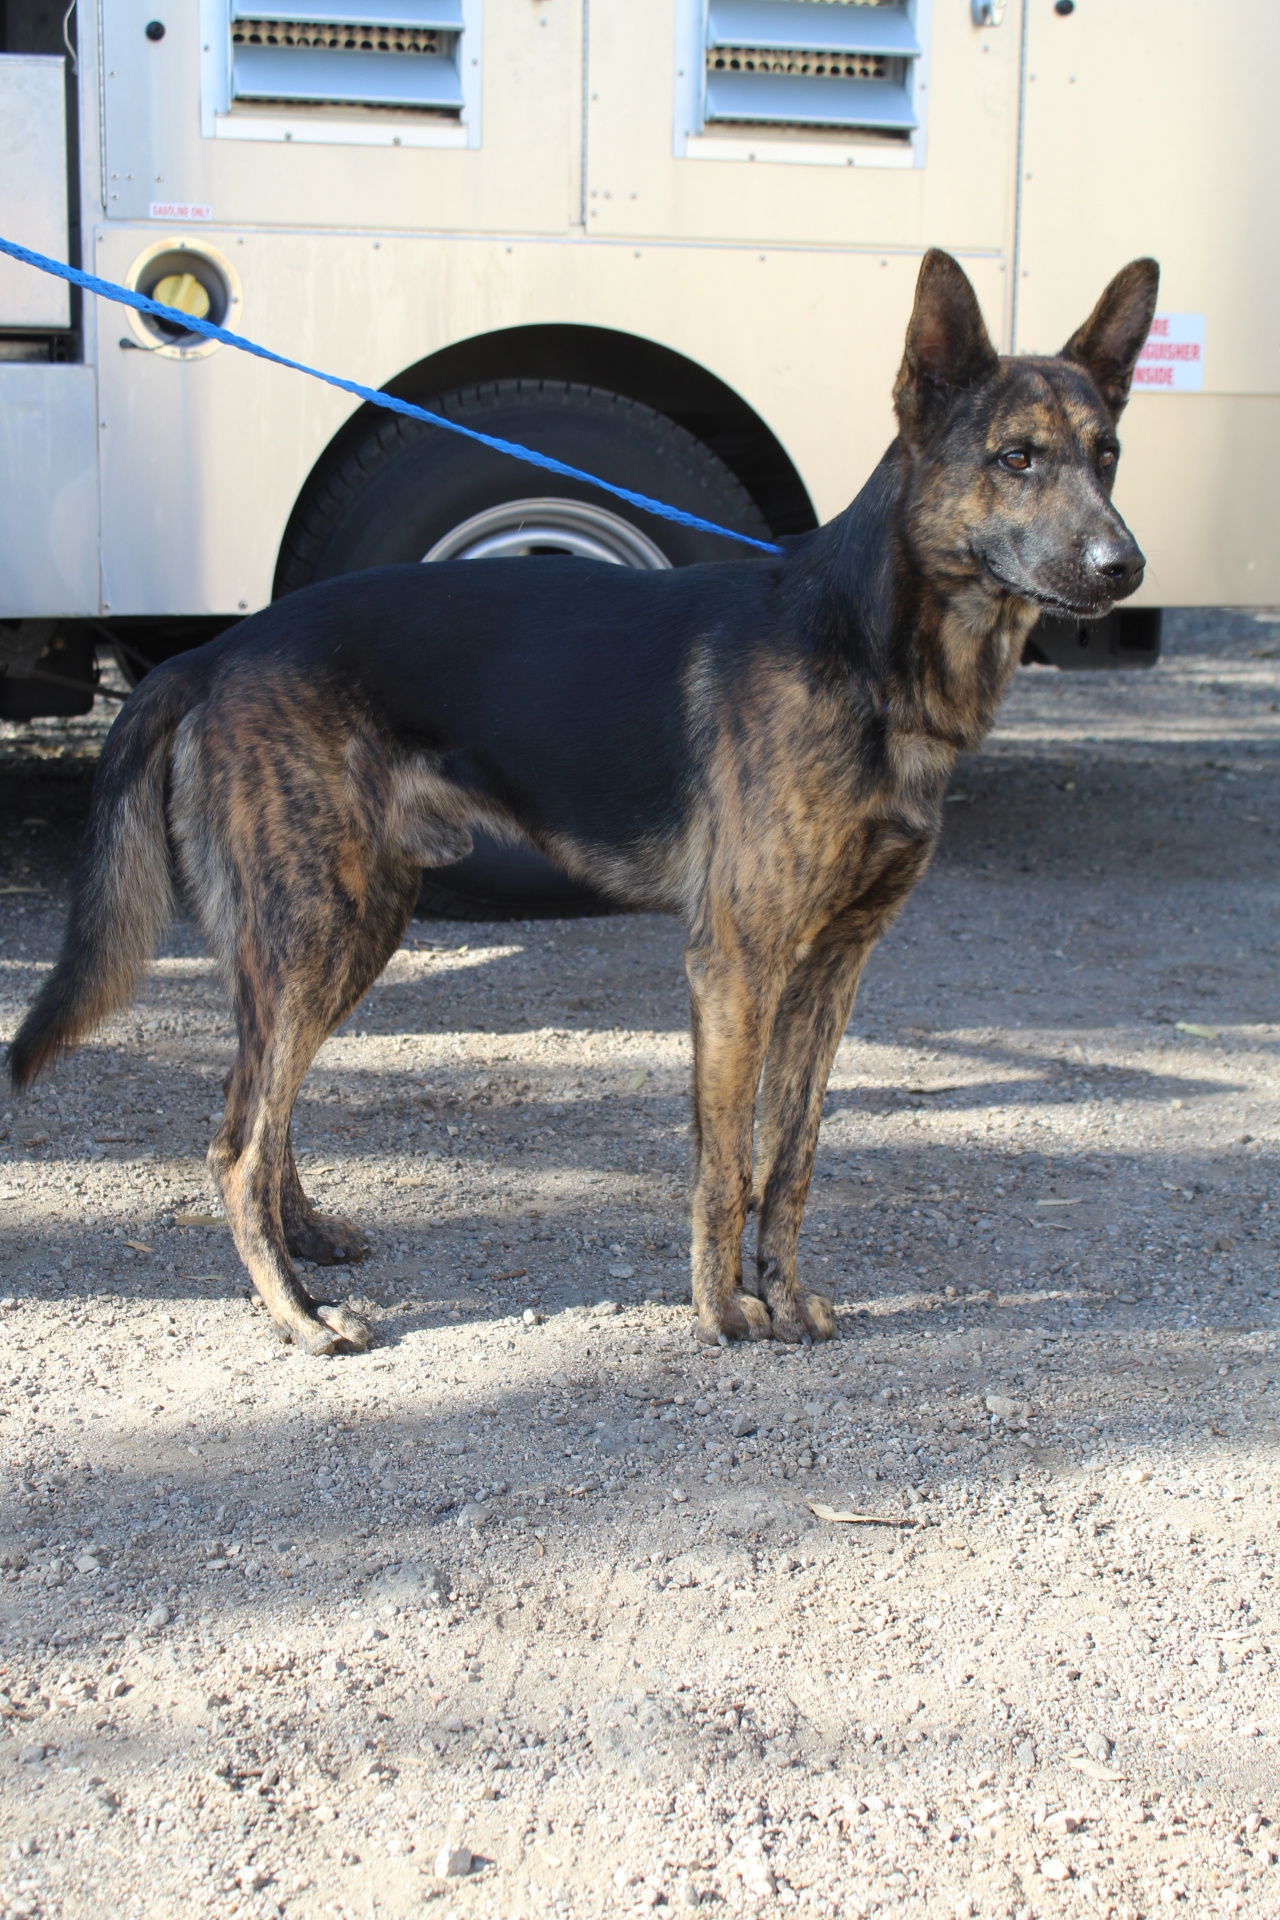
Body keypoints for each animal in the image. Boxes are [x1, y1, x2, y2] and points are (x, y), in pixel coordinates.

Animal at [5, 251, 1159, 1351]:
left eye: (1106, 454)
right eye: (1016, 458)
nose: (1124, 565)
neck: (872, 652)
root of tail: (212, 652)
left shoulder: (834, 969)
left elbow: (791, 1160)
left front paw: (785, 1299)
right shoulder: (736, 964)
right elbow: (727, 1163)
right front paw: (722, 1315)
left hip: (342, 930)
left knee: (259, 1110)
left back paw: (310, 1244)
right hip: (316, 928)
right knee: (235, 1143)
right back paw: (295, 1314)